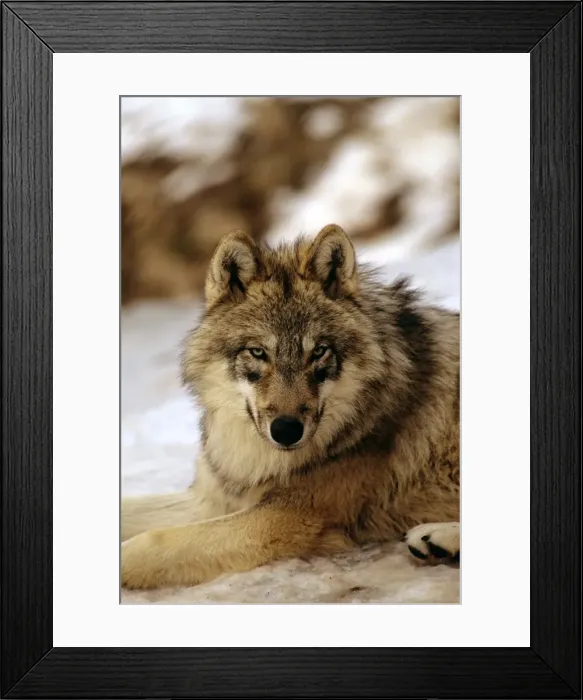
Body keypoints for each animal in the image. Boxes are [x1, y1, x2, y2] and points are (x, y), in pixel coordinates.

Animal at [121, 224, 460, 589]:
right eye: (258, 352)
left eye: (319, 352)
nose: (286, 430)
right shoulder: (213, 499)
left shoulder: (286, 517)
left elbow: (154, 540)